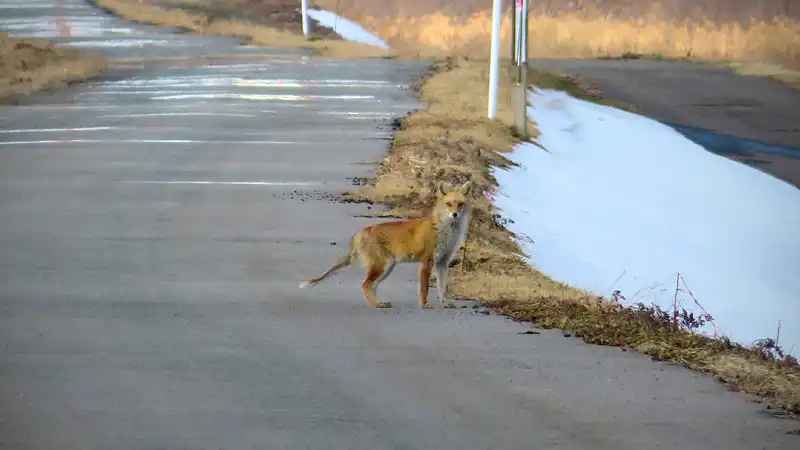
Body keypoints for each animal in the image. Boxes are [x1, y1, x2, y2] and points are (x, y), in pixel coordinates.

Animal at [300, 181, 476, 308]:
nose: (455, 214)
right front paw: (425, 304)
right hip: (382, 266)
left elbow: (443, 288)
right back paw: (376, 305)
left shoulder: (442, 262)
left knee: (371, 286)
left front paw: (446, 303)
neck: (444, 231)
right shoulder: (427, 260)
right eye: (449, 204)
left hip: (387, 268)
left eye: (460, 204)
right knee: (365, 285)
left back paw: (380, 302)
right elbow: (424, 288)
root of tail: (362, 231)